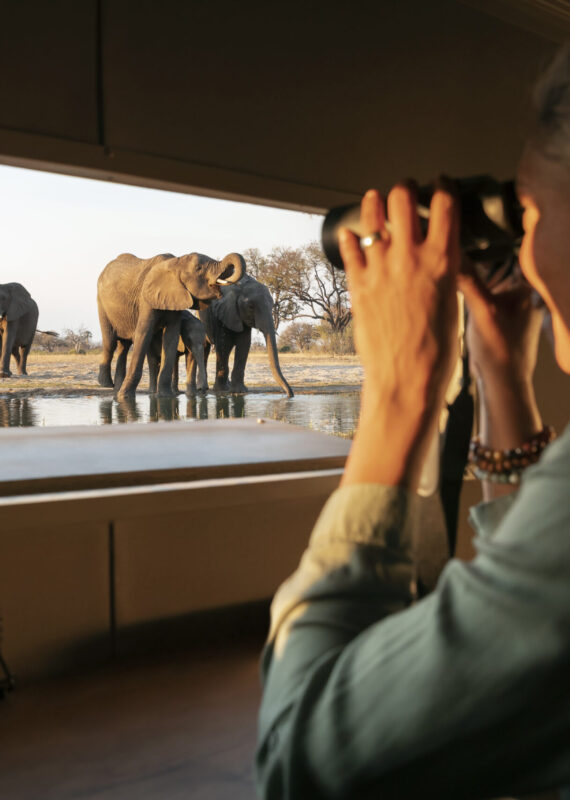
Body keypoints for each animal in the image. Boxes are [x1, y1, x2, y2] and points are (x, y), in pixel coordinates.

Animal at [97, 251, 245, 400]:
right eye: (199, 268)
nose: (203, 390)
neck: (176, 263)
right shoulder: (145, 298)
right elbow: (143, 333)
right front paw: (125, 397)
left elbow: (171, 337)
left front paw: (165, 397)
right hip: (101, 303)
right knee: (110, 342)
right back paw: (107, 384)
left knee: (124, 345)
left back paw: (116, 391)